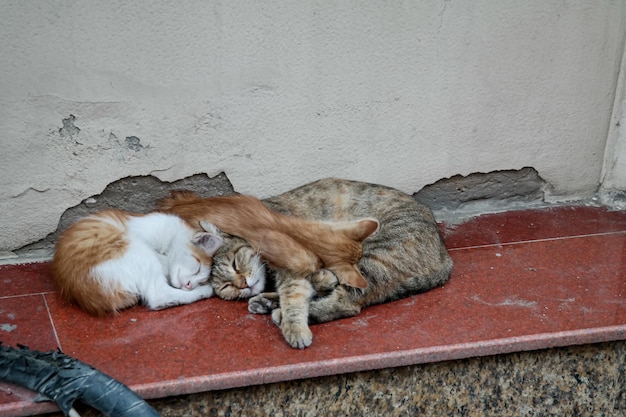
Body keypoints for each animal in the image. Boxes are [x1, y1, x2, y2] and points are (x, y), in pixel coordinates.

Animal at [51, 210, 223, 314]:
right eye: (198, 268)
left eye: (200, 280)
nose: (189, 285)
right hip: (135, 248)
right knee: (159, 296)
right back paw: (208, 291)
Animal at [212, 177, 450, 350]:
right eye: (226, 287)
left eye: (235, 264)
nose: (242, 284)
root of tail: (445, 255)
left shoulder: (293, 265)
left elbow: (294, 294)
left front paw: (294, 326)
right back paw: (267, 302)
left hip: (372, 260)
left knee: (347, 303)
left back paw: (280, 313)